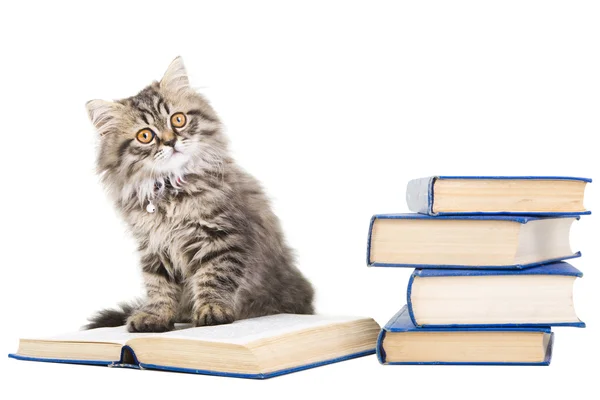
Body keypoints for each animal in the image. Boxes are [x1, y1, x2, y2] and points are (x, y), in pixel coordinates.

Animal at [86, 56, 316, 332]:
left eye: (178, 120)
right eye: (145, 135)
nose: (170, 141)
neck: (171, 192)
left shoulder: (221, 236)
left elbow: (214, 277)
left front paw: (212, 310)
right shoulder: (154, 246)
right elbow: (158, 285)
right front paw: (156, 315)